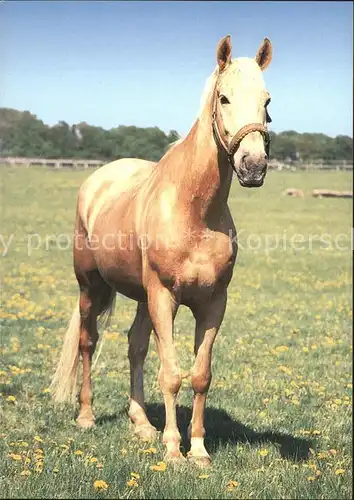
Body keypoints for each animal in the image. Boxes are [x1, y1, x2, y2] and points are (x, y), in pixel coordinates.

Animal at [51, 35, 274, 464]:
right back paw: (86, 416)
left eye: (267, 101)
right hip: (91, 286)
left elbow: (200, 375)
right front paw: (173, 450)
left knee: (134, 347)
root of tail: (99, 179)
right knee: (89, 342)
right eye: (223, 98)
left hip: (141, 297)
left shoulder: (213, 303)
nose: (253, 166)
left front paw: (198, 449)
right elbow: (171, 373)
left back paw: (141, 424)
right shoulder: (164, 296)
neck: (194, 211)